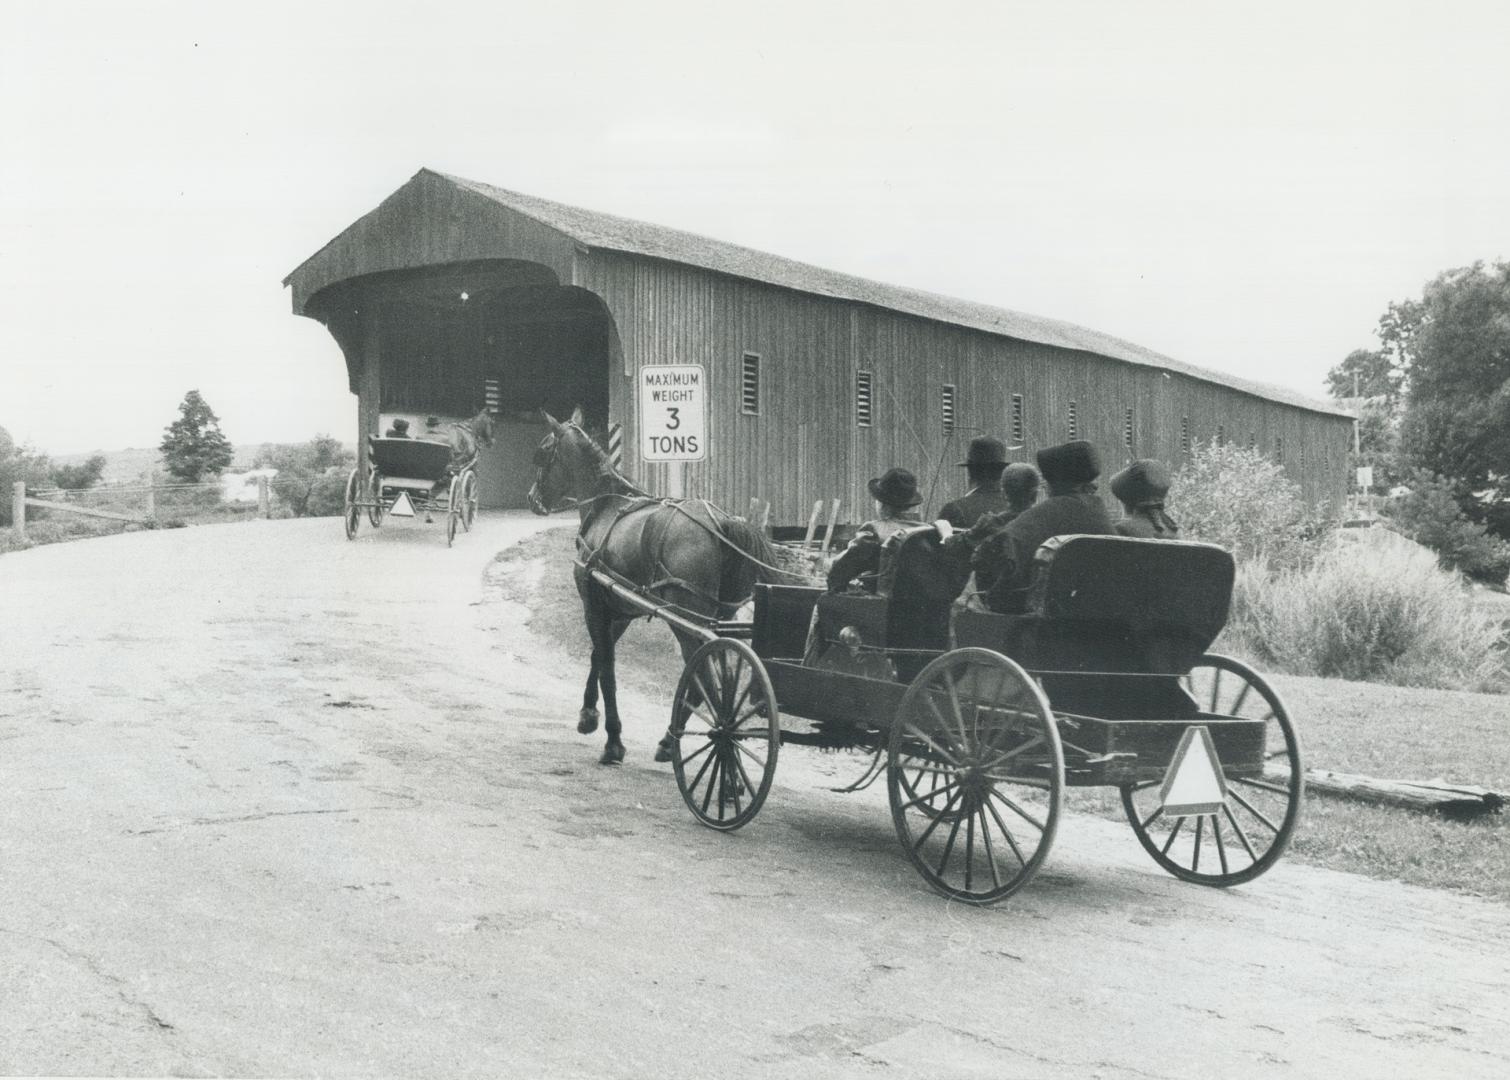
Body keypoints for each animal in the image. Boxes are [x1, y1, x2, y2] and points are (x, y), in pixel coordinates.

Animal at [528, 407, 791, 770]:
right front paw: (588, 715)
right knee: (709, 678)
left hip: (688, 620)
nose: (532, 499)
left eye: (542, 452)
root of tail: (723, 522)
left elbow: (607, 668)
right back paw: (671, 741)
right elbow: (597, 657)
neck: (605, 507)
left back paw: (709, 741)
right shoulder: (620, 612)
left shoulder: (593, 607)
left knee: (702, 679)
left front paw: (613, 742)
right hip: (718, 619)